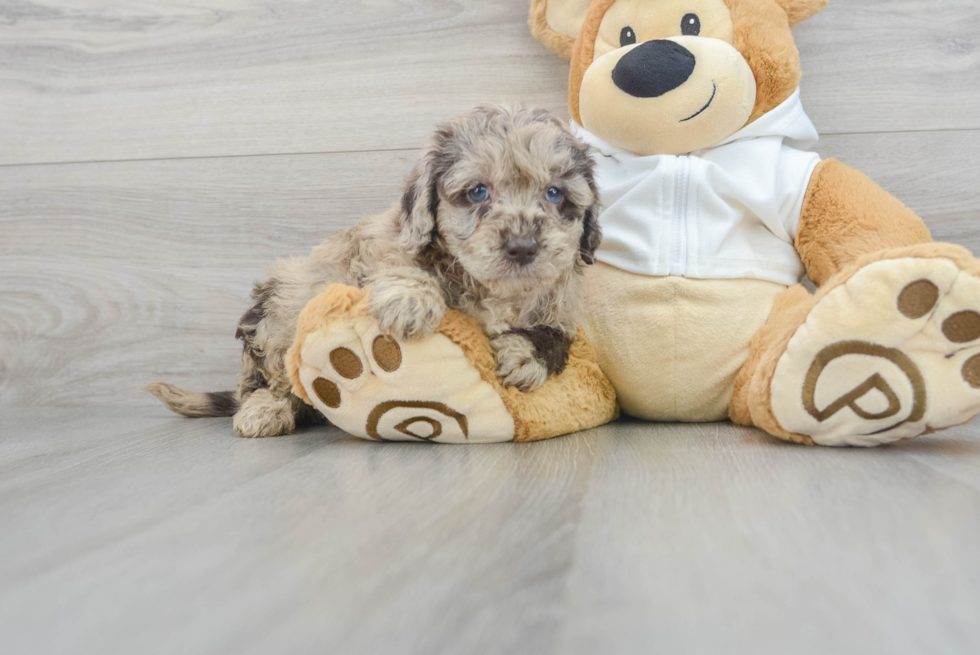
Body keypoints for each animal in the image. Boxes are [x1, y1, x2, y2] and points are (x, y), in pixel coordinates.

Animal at [148, 105, 600, 438]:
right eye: (478, 192)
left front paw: (524, 355)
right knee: (264, 378)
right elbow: (403, 263)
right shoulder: (380, 245)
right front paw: (412, 301)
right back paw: (264, 409)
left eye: (554, 194)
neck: (495, 291)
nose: (522, 247)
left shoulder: (563, 308)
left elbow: (555, 336)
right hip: (279, 310)